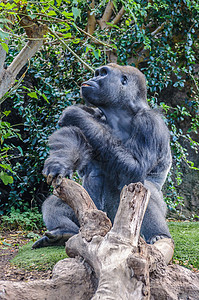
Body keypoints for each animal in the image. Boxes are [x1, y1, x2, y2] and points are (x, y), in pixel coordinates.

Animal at [32, 63, 173, 251]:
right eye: (97, 73)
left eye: (103, 74)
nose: (92, 79)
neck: (120, 113)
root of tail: (110, 227)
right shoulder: (95, 113)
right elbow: (73, 139)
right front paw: (58, 163)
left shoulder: (149, 123)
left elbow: (137, 168)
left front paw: (74, 113)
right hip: (91, 213)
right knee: (54, 204)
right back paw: (64, 232)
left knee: (142, 188)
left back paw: (159, 236)